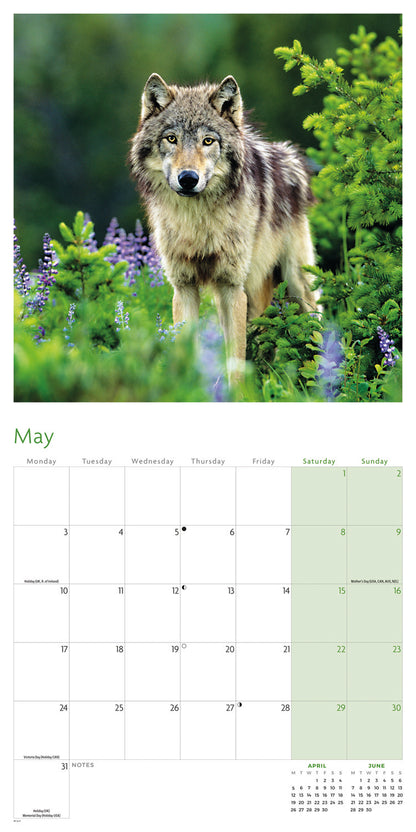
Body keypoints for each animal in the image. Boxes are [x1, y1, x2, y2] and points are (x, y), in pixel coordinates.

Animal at [129, 73, 319, 380]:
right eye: (171, 138)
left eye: (208, 141)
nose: (188, 179)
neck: (198, 222)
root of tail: (291, 157)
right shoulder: (184, 286)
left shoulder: (232, 286)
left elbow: (236, 361)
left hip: (296, 285)